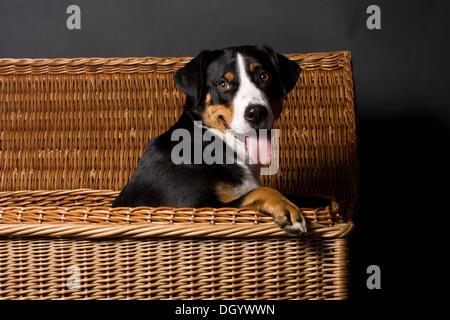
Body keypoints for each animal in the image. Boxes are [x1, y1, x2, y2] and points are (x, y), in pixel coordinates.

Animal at [113, 44, 310, 235]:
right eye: (223, 84)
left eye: (264, 76)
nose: (256, 112)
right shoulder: (195, 207)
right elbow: (261, 191)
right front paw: (286, 209)